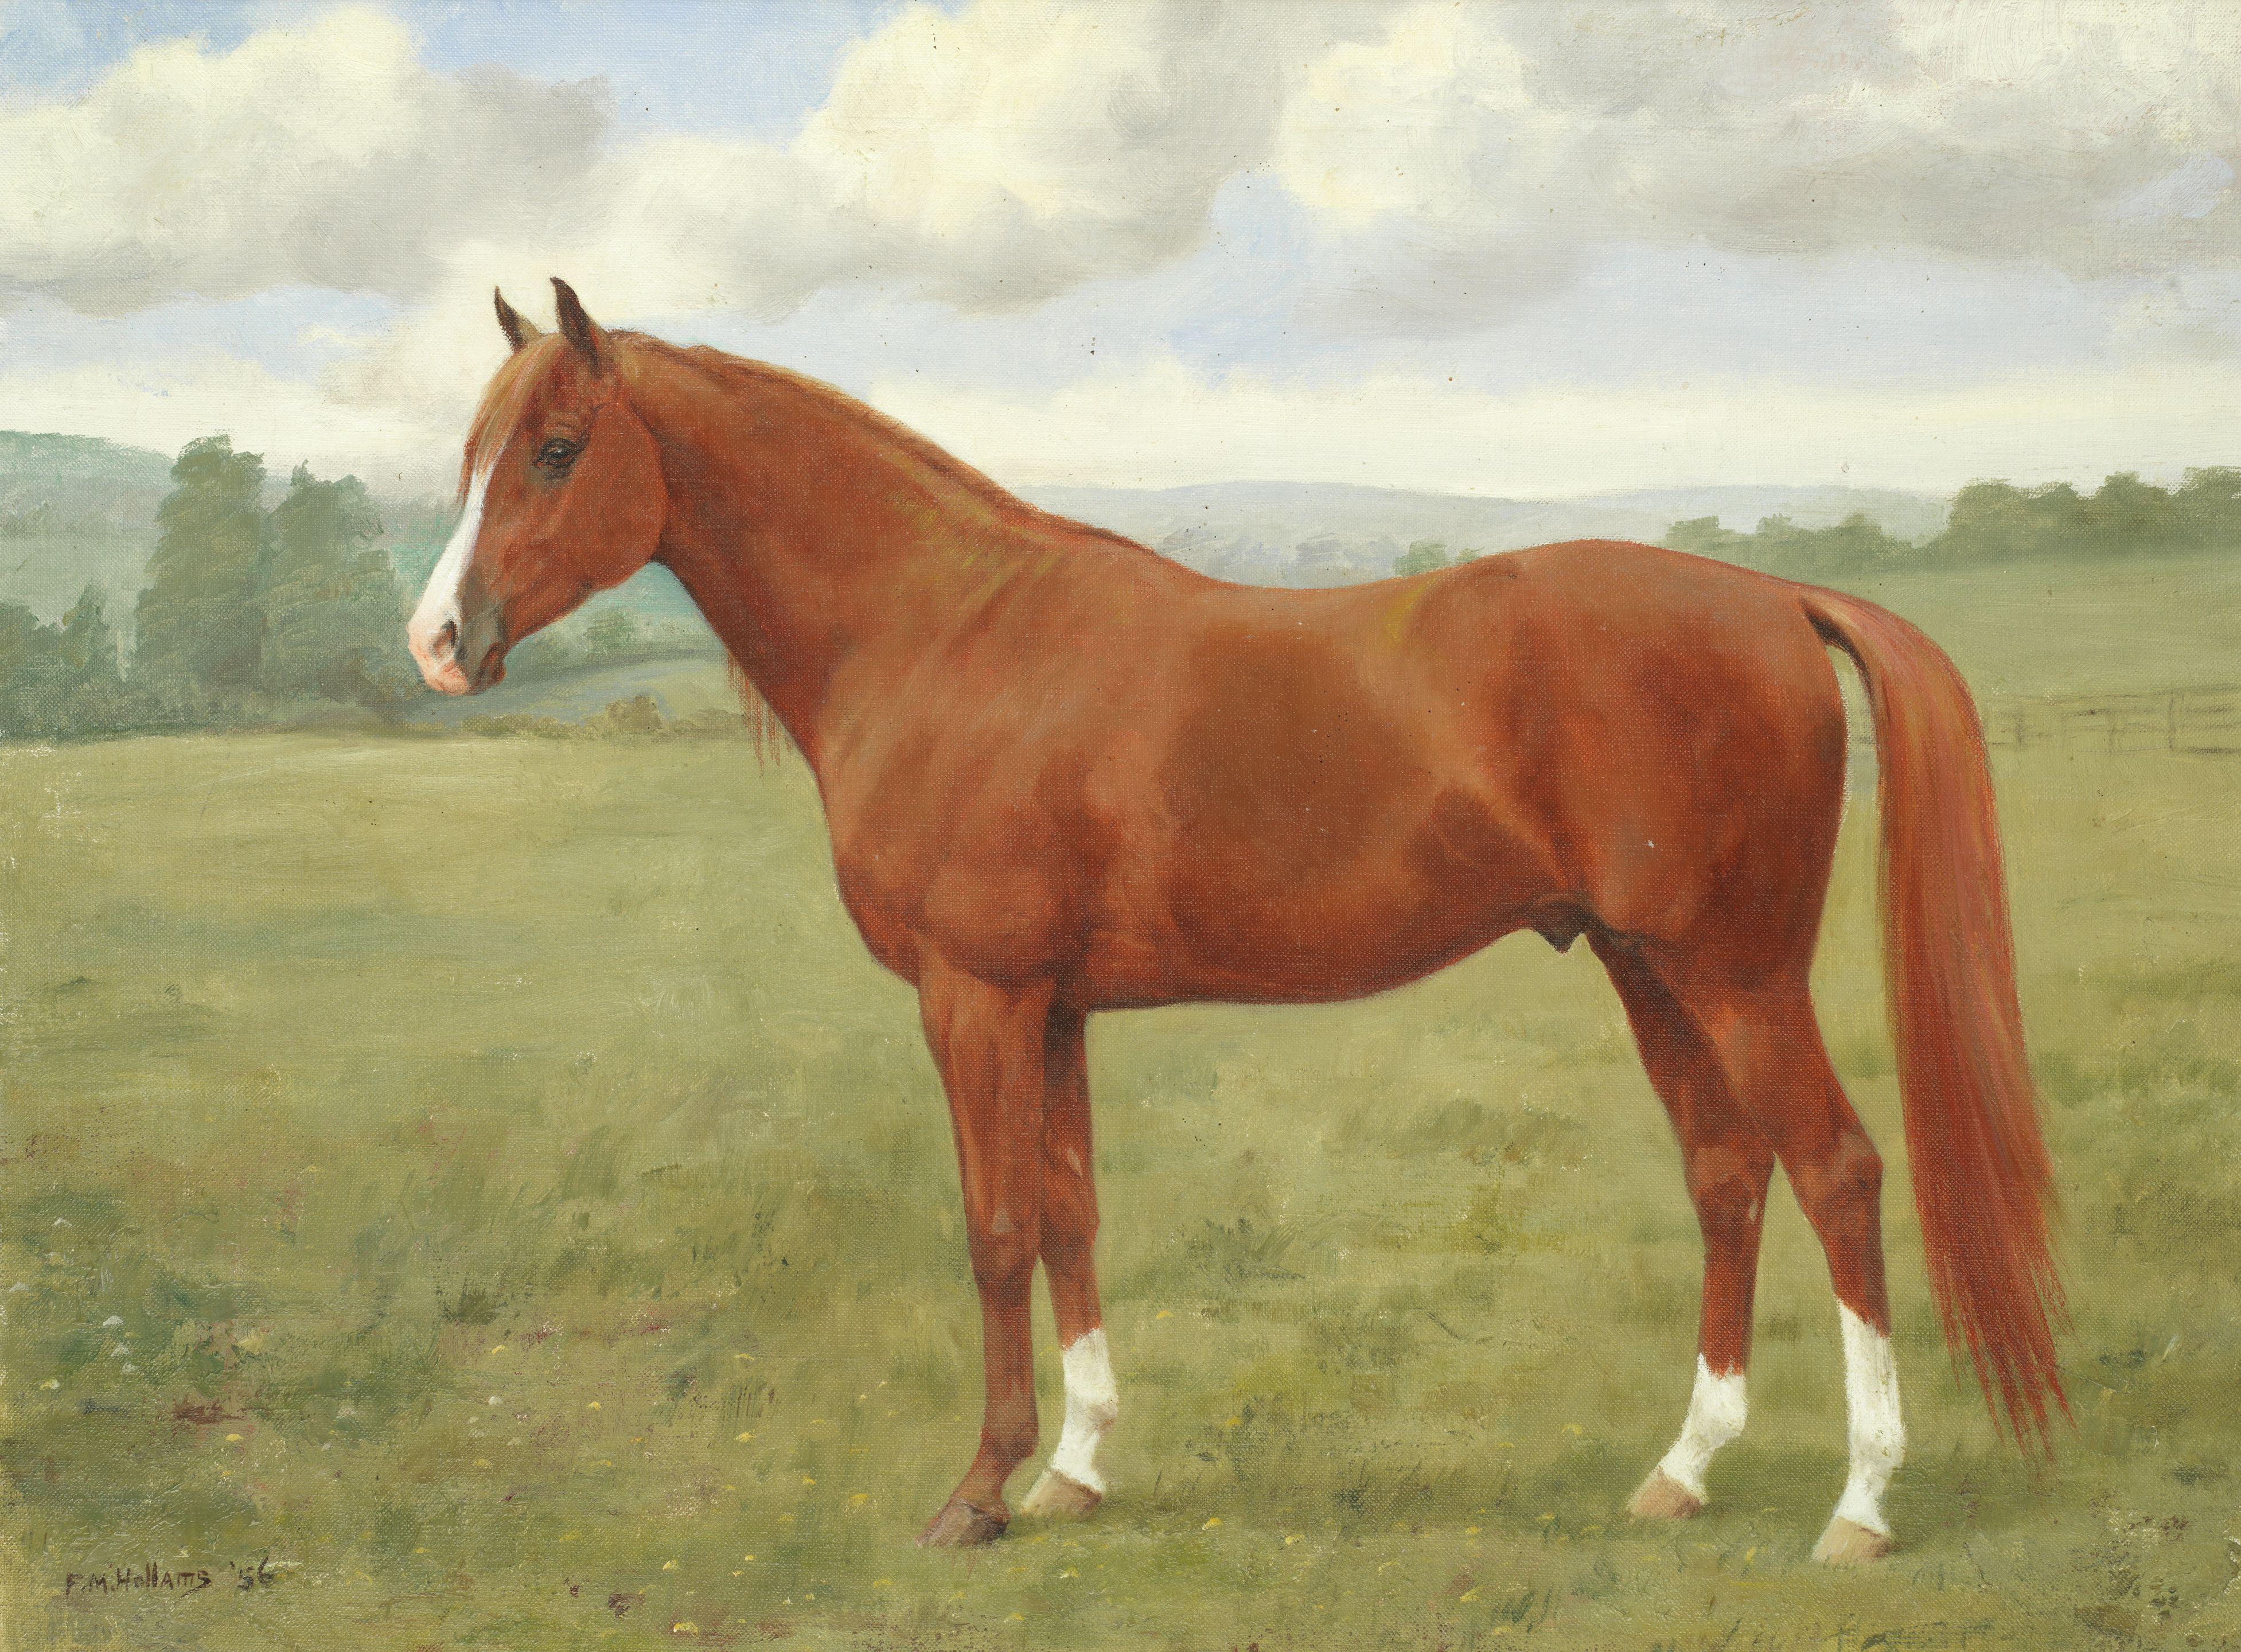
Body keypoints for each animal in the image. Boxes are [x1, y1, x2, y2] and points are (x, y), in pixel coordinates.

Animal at [406, 280, 2062, 1564]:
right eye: (475, 453)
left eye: (557, 451)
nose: (437, 642)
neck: (941, 635)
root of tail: (1772, 600)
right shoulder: (1055, 1006)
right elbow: (1070, 1211)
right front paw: (1074, 1473)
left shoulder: (975, 995)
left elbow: (994, 1227)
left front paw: (977, 1496)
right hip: (1651, 968)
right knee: (1728, 1173)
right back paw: (1681, 1474)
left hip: (1736, 974)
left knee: (1837, 1172)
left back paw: (1858, 1508)